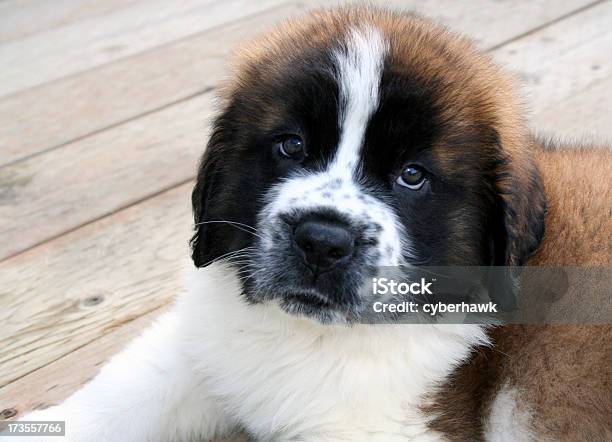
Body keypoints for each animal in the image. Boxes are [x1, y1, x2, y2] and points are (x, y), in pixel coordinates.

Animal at [21, 6, 608, 442]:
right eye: (291, 146)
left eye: (412, 176)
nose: (322, 241)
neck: (311, 336)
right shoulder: (206, 339)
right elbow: (133, 383)